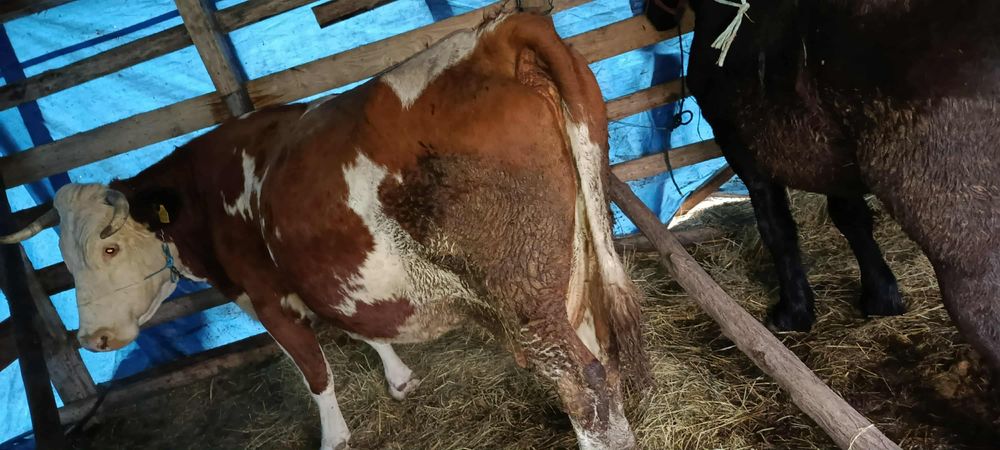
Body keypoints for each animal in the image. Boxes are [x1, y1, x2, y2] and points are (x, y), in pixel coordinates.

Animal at [1, 11, 650, 450]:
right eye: (64, 258)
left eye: (109, 247)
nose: (94, 340)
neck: (207, 194)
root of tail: (493, 36)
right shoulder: (327, 277)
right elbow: (362, 328)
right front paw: (400, 379)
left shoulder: (265, 297)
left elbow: (315, 372)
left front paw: (335, 436)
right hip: (568, 269)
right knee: (603, 363)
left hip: (524, 293)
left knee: (586, 386)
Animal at [645, 0, 1000, 376]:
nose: (655, 18)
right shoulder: (835, 166)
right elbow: (852, 220)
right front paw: (881, 296)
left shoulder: (743, 152)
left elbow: (777, 230)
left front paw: (793, 311)